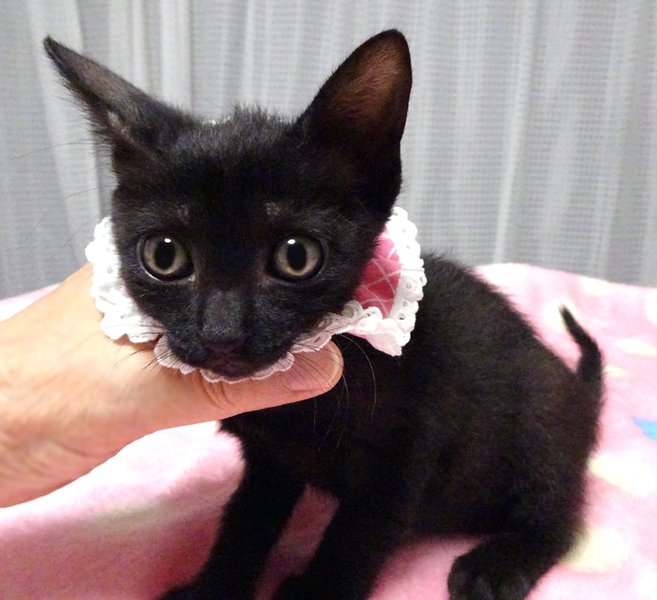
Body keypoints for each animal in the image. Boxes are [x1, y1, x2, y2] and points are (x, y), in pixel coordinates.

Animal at [45, 30, 602, 600]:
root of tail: (576, 391)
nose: (221, 331)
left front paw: (315, 591)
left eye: (296, 257)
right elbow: (243, 523)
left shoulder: (406, 455)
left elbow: (357, 534)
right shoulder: (269, 463)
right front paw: (213, 587)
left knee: (557, 512)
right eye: (164, 256)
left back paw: (497, 563)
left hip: (544, 417)